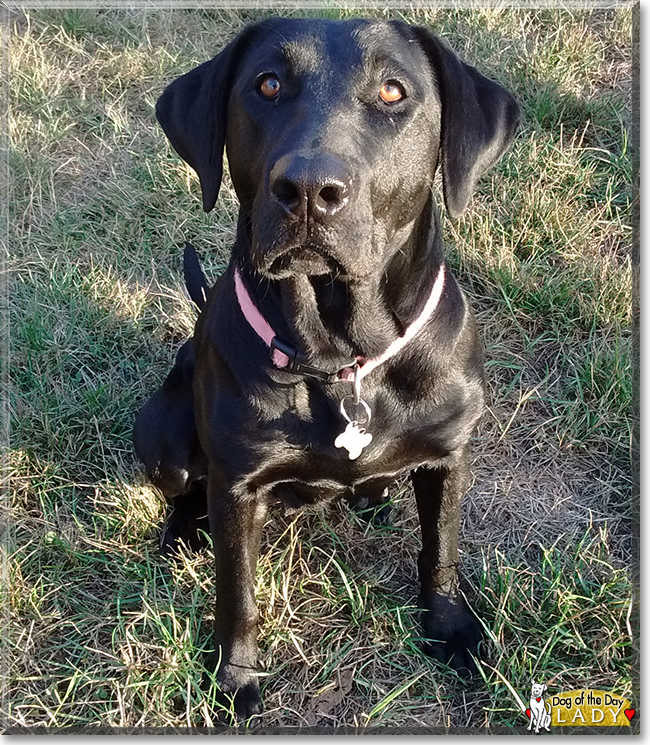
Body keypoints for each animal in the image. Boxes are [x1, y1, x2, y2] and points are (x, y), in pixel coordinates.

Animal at [134, 18, 520, 720]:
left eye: (393, 90)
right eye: (267, 84)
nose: (309, 189)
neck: (343, 357)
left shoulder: (449, 455)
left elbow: (441, 550)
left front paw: (450, 628)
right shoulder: (238, 484)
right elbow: (237, 594)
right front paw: (234, 680)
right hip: (165, 439)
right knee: (183, 486)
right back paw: (183, 532)